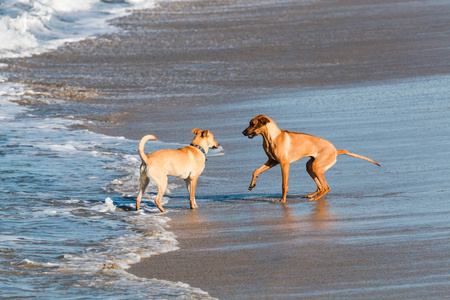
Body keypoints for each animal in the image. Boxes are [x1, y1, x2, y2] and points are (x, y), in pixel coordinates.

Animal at [243, 115, 380, 202]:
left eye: (252, 124)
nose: (243, 132)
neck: (271, 137)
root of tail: (335, 150)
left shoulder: (284, 164)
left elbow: (284, 184)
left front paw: (283, 200)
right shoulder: (272, 161)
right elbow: (256, 171)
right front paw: (252, 185)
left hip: (317, 167)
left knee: (326, 187)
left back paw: (315, 198)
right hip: (310, 166)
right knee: (320, 187)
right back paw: (312, 195)